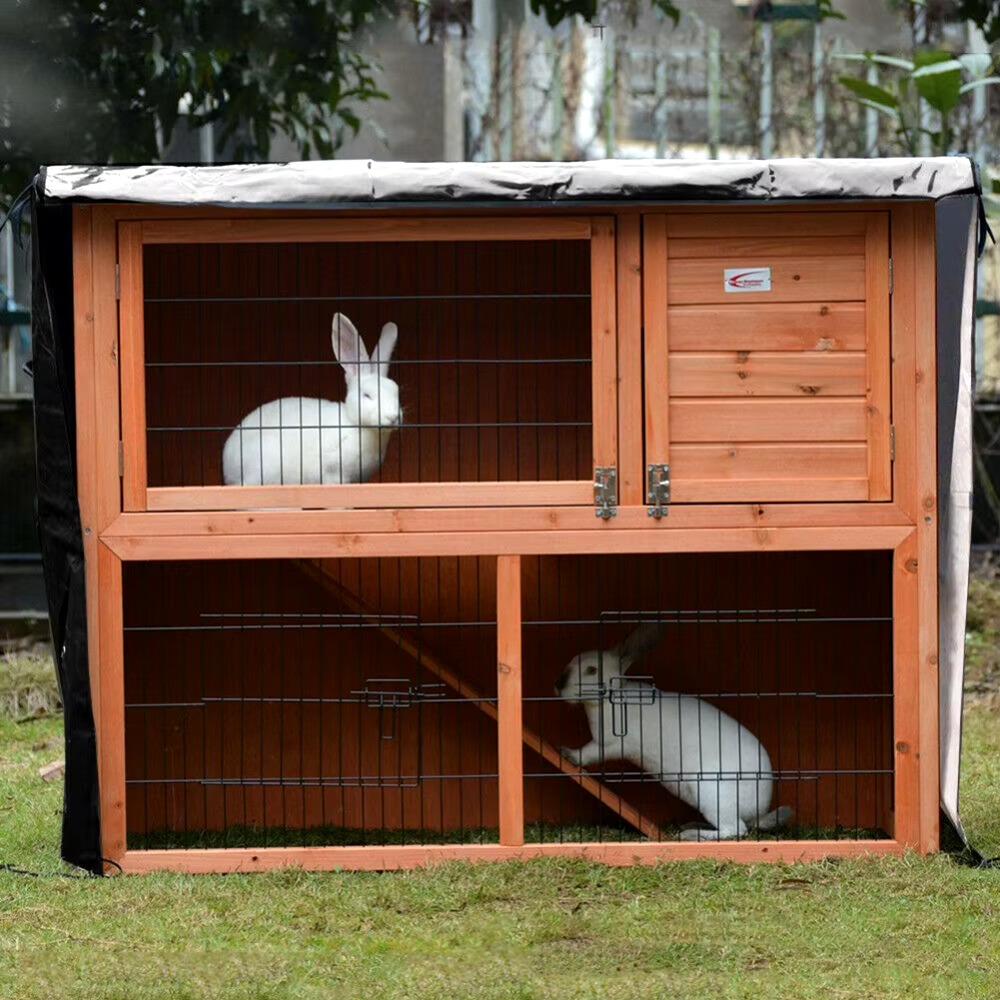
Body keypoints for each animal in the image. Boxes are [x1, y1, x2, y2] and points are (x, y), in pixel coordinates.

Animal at [222, 313, 402, 487]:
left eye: (396, 392)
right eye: (367, 395)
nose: (393, 417)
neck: (356, 425)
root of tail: (227, 466)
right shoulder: (333, 471)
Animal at [556, 623, 792, 841]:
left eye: (592, 670)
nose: (558, 684)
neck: (611, 697)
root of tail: (759, 810)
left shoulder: (613, 744)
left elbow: (589, 753)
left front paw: (567, 754)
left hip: (712, 791)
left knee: (735, 829)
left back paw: (691, 834)